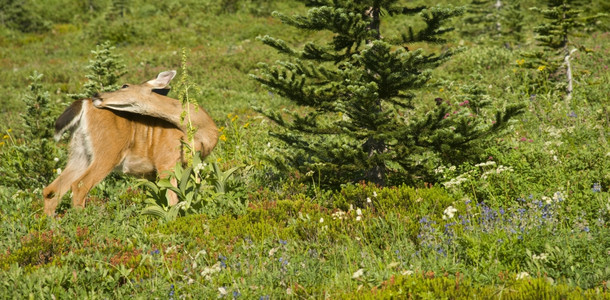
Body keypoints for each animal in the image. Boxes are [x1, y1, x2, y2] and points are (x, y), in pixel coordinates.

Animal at [41, 70, 216, 216]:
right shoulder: (165, 160)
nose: (96, 95)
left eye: (125, 85)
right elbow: (172, 200)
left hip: (80, 152)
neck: (199, 132)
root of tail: (84, 104)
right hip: (109, 150)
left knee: (52, 189)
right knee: (79, 185)